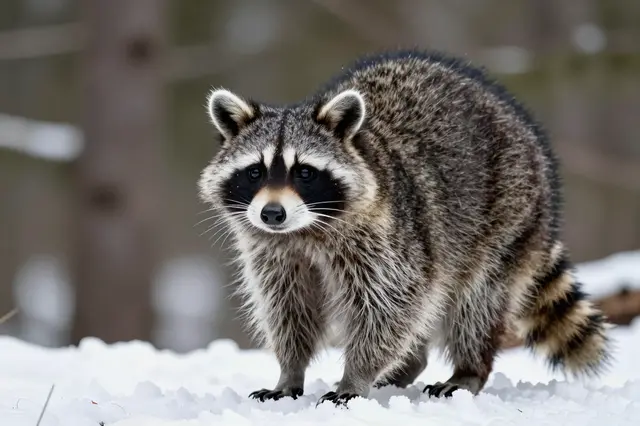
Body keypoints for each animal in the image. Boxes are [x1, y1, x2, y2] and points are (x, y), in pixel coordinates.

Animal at [198, 50, 611, 406]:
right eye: (255, 172)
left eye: (305, 173)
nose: (272, 214)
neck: (305, 232)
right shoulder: (274, 253)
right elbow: (287, 307)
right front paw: (290, 370)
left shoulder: (388, 237)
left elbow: (388, 308)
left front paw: (356, 376)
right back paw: (407, 366)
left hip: (506, 214)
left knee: (476, 302)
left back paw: (469, 368)